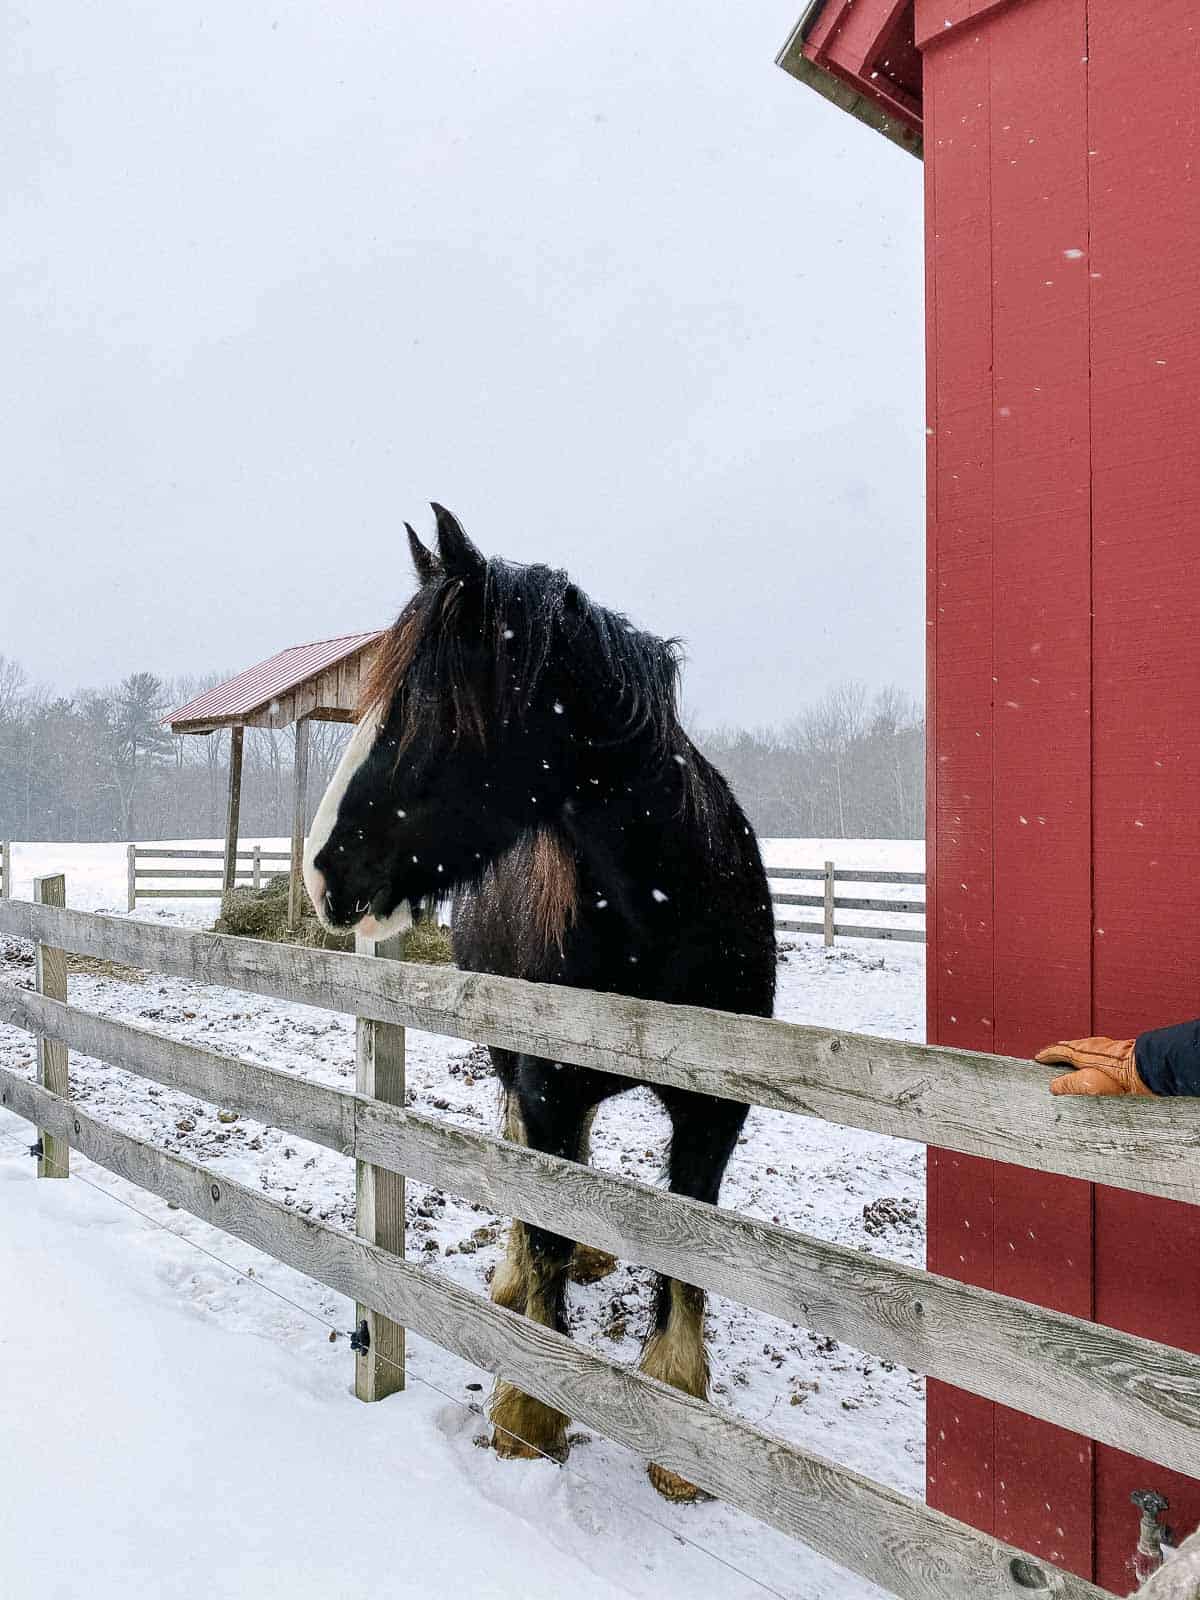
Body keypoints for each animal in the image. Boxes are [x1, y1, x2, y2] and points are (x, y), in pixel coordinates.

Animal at [305, 508, 774, 1497]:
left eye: (424, 708)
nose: (321, 872)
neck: (661, 911)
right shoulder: (547, 1081)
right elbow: (545, 1217)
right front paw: (531, 1411)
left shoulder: (715, 1108)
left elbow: (689, 1251)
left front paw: (681, 1418)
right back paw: (512, 1279)